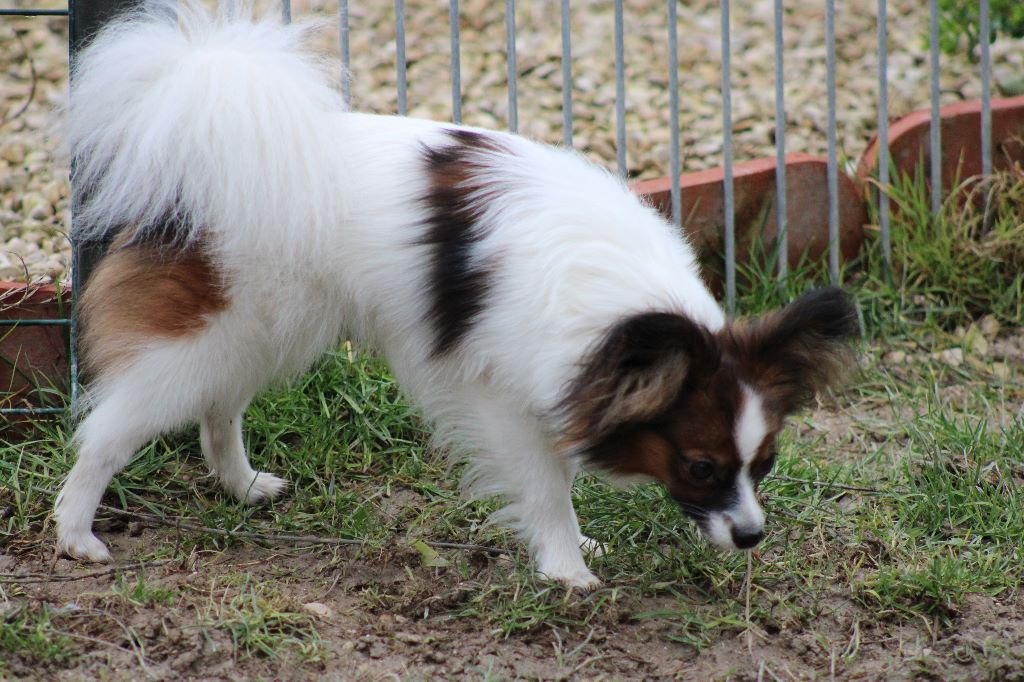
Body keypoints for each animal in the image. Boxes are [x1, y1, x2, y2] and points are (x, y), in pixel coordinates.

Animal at [56, 1, 856, 585]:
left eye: (766, 464)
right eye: (700, 468)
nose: (752, 536)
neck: (617, 311)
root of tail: (200, 137)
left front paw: (579, 548)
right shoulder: (503, 398)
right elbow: (547, 485)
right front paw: (566, 568)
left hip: (262, 332)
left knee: (219, 408)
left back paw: (242, 484)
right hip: (211, 334)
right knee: (108, 431)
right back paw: (75, 535)